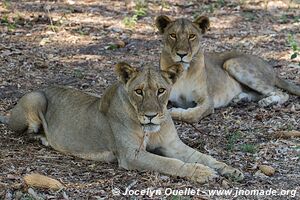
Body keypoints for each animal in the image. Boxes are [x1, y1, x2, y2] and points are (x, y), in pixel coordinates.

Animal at [0, 62, 244, 183]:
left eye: (161, 90)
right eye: (139, 91)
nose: (151, 115)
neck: (149, 129)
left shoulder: (173, 145)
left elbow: (204, 156)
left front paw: (230, 170)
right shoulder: (131, 155)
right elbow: (170, 164)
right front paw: (202, 173)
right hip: (35, 98)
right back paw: (44, 139)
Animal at [155, 15, 300, 122]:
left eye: (191, 36)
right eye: (173, 35)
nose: (181, 54)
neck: (183, 72)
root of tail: (271, 68)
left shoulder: (208, 101)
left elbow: (191, 115)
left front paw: (173, 111)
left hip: (232, 63)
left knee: (281, 93)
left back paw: (267, 102)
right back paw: (240, 99)